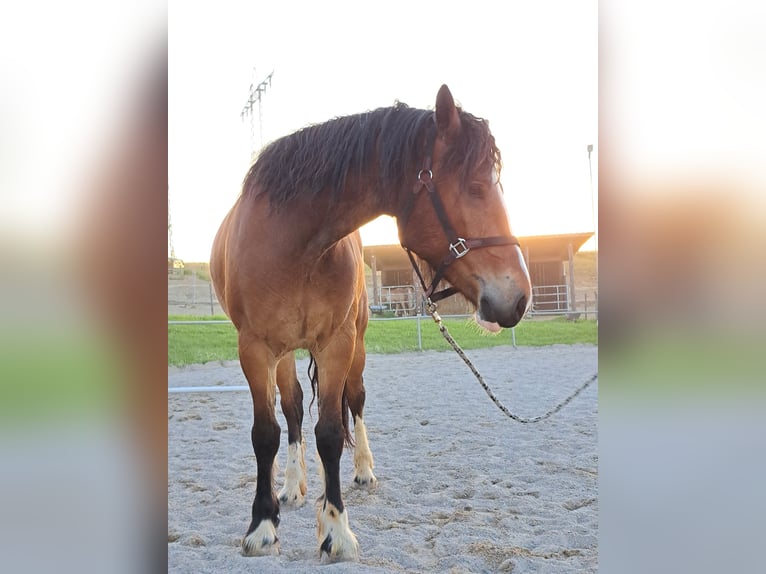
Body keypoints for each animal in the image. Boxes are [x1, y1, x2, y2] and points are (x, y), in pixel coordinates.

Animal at [210, 85, 536, 564]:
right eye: (477, 187)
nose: (519, 297)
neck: (294, 244)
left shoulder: (337, 344)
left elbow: (330, 432)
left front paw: (336, 532)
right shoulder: (254, 348)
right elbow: (266, 433)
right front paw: (263, 526)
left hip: (355, 346)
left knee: (356, 400)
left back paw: (362, 470)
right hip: (283, 353)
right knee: (292, 411)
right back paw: (291, 485)